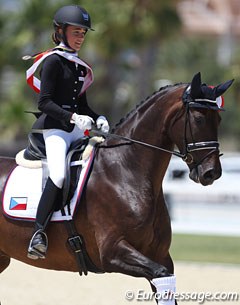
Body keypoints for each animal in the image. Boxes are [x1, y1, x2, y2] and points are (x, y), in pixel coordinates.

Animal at [0, 72, 232, 282]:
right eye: (199, 119)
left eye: (219, 119)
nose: (212, 172)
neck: (126, 170)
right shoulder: (111, 253)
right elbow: (161, 273)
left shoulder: (160, 255)